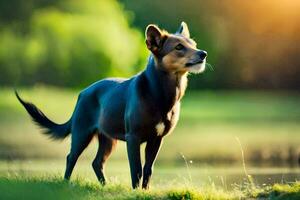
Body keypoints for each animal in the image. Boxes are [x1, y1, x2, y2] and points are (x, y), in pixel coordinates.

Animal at [15, 21, 206, 189]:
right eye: (179, 47)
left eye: (194, 44)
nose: (203, 53)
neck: (158, 93)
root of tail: (82, 93)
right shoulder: (133, 138)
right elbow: (136, 169)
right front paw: (135, 191)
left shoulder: (156, 139)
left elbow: (148, 169)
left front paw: (145, 191)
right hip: (82, 133)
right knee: (71, 157)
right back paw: (65, 183)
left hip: (107, 138)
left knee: (97, 162)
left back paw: (105, 185)